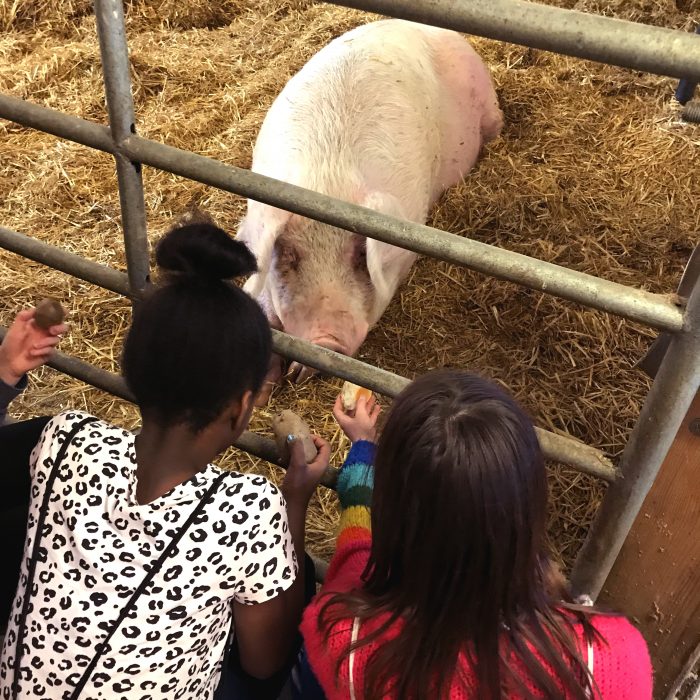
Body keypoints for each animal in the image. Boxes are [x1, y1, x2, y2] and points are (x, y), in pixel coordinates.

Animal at [241, 19, 504, 400]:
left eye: (359, 255)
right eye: (289, 255)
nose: (326, 341)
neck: (327, 181)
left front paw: (299, 372)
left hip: (488, 106)